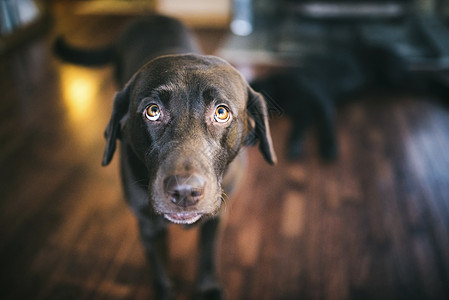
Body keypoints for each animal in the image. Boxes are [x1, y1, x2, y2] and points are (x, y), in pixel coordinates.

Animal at [54, 14, 274, 300]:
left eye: (221, 112)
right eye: (153, 111)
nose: (184, 192)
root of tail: (151, 16)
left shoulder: (216, 217)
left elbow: (208, 253)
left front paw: (208, 287)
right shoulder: (148, 225)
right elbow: (159, 267)